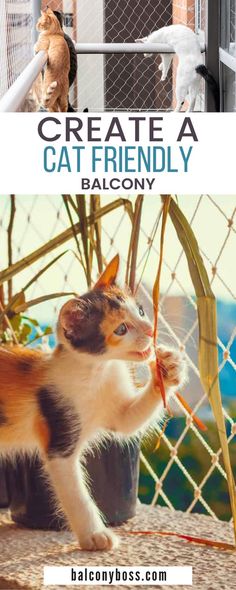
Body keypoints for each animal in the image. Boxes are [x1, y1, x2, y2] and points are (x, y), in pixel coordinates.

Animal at [0, 256, 185, 552]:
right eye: (121, 329)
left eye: (141, 311)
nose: (151, 329)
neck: (97, 372)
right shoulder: (60, 436)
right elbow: (75, 492)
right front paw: (94, 535)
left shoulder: (117, 411)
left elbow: (127, 423)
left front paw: (170, 369)